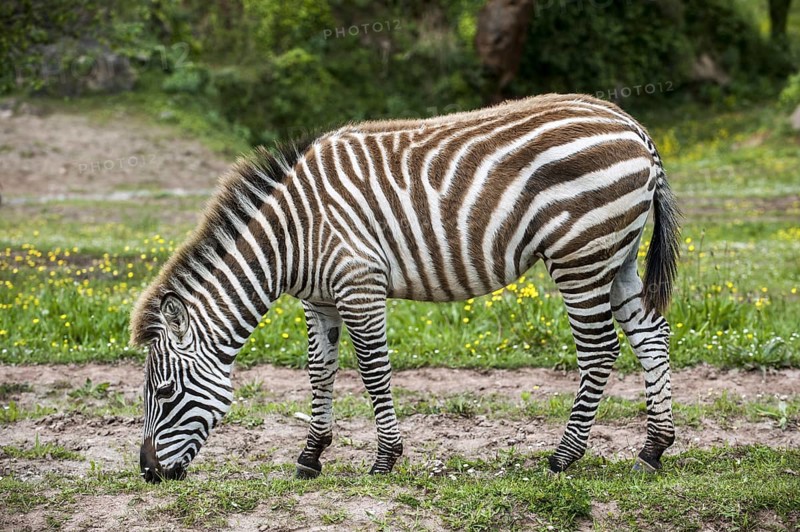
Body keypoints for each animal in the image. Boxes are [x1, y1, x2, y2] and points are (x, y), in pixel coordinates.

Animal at [131, 93, 680, 483]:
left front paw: (385, 460)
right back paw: (652, 449)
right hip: (617, 255)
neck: (293, 235)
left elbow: (373, 370)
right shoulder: (319, 300)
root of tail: (633, 126)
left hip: (580, 255)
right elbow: (319, 371)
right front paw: (311, 455)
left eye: (164, 391)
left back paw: (564, 457)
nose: (149, 473)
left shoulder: (358, 284)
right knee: (650, 335)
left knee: (600, 349)